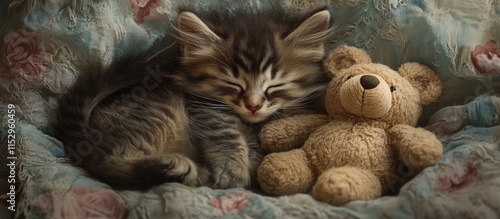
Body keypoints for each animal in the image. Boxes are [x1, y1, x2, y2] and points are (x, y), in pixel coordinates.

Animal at [54, 8, 330, 190]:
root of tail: (86, 133)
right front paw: (233, 170)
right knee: (105, 163)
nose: (253, 106)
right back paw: (179, 168)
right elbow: (226, 134)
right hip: (161, 111)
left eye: (274, 86)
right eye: (233, 85)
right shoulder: (204, 108)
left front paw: (251, 163)